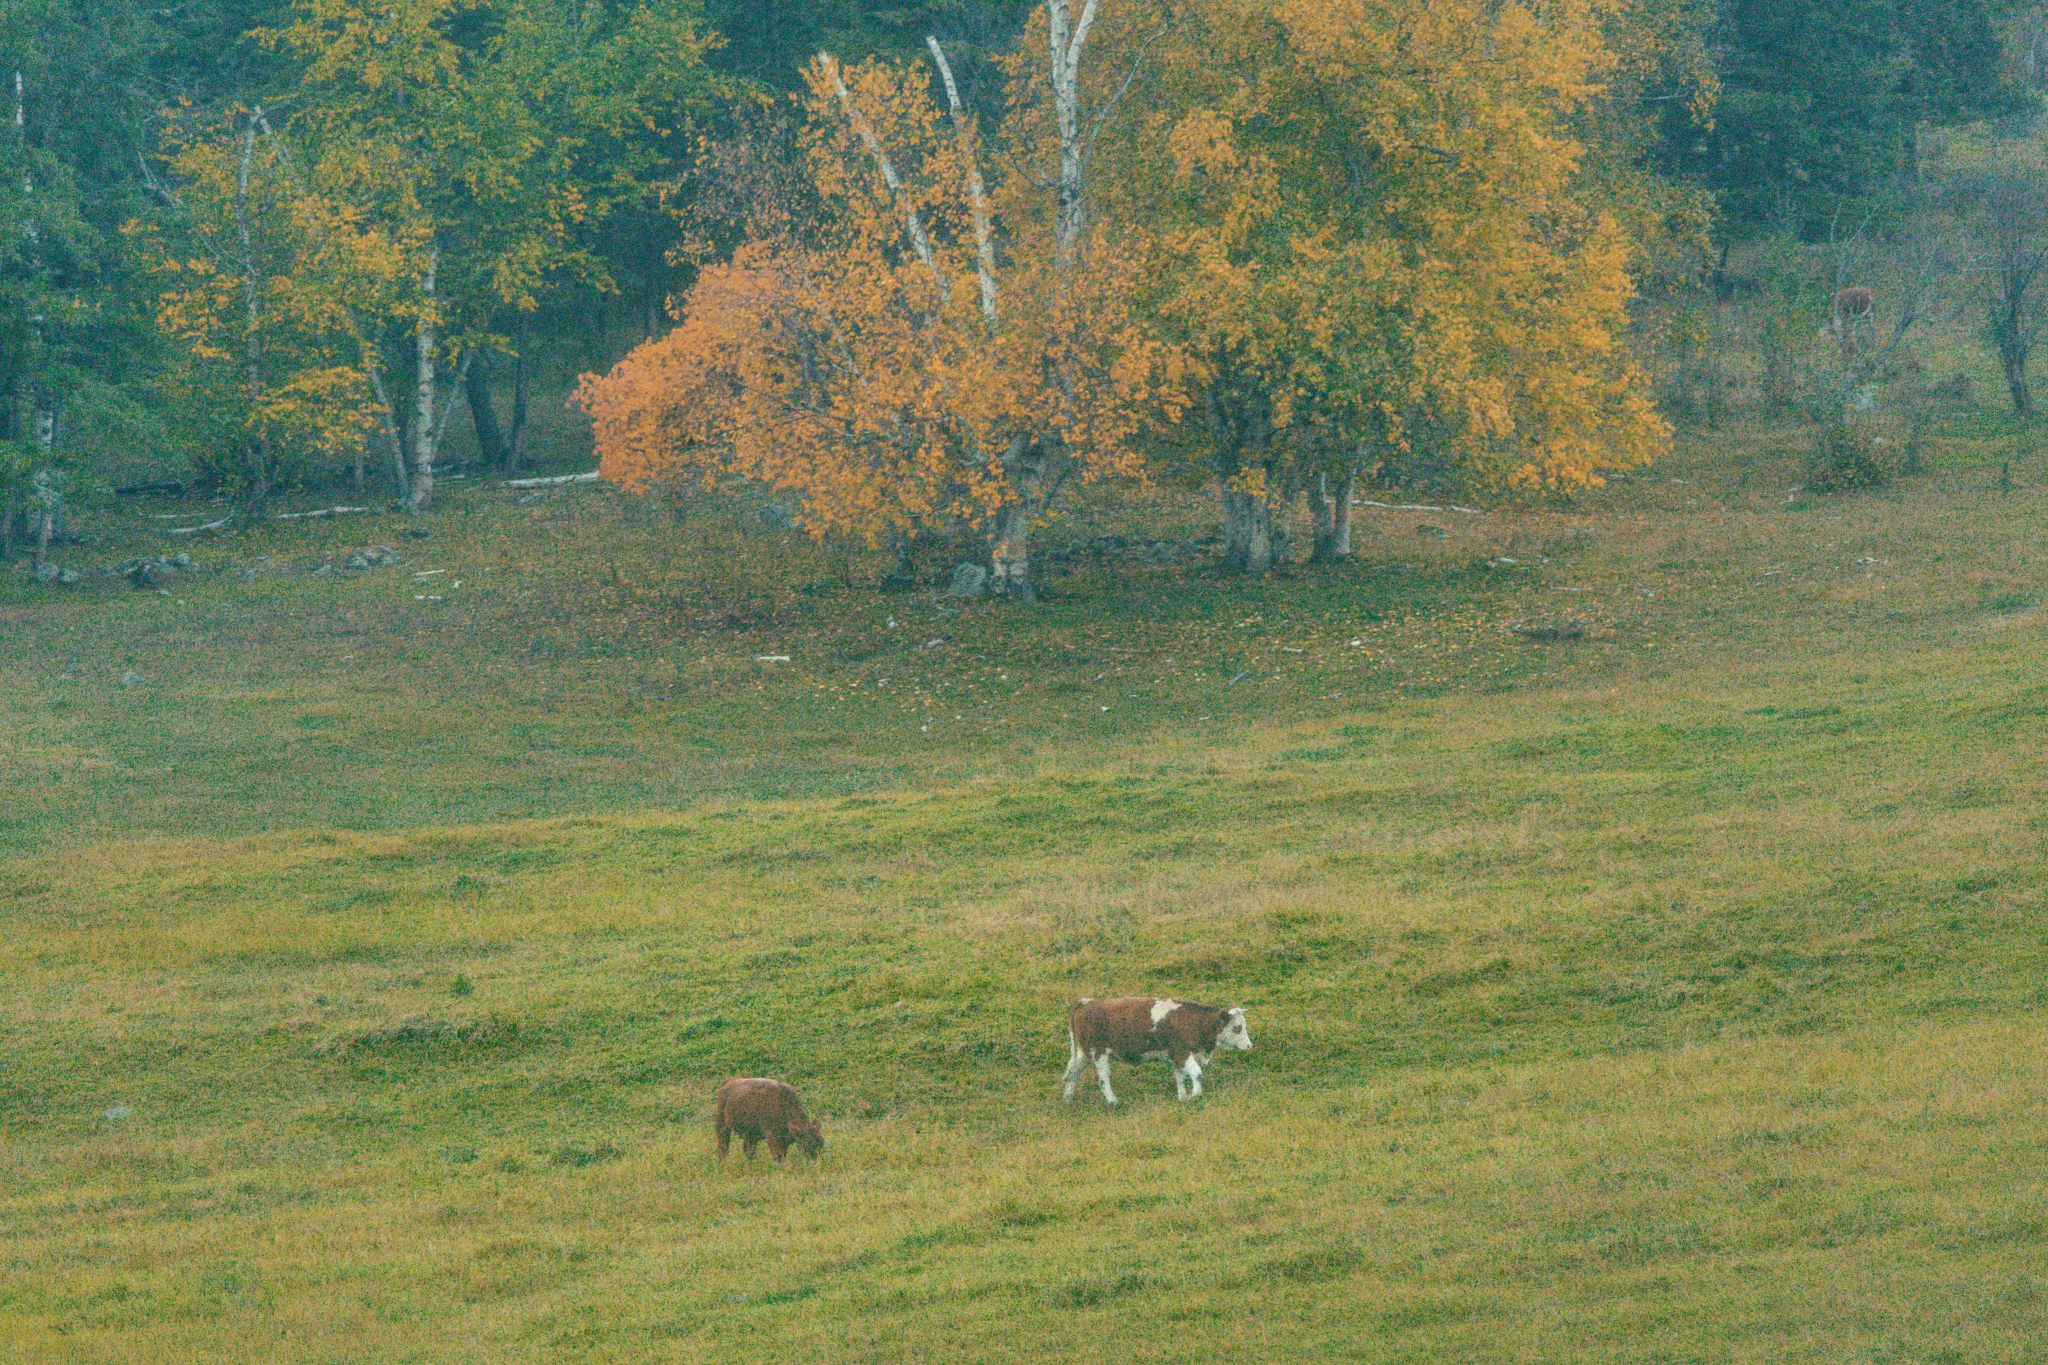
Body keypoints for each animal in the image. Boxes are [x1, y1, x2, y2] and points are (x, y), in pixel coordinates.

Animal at [1073, 998, 1245, 1105]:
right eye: (1237, 1028)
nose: (1248, 1045)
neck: (1191, 1020)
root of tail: (1086, 1003)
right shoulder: (1182, 1054)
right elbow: (1196, 1073)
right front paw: (1196, 1094)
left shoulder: (1176, 1058)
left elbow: (1180, 1077)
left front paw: (1183, 1097)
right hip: (1098, 1055)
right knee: (1103, 1080)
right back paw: (1113, 1102)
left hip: (1082, 1055)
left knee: (1071, 1074)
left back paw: (1069, 1099)